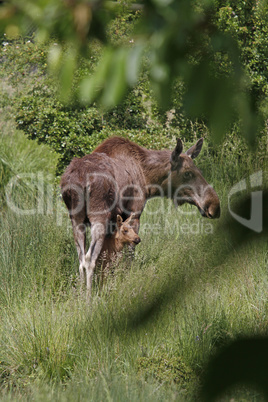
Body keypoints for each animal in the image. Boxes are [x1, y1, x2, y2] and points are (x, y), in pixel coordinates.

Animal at [60, 137, 220, 296]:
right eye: (187, 173)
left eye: (199, 170)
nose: (214, 205)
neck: (148, 180)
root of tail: (77, 181)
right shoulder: (134, 214)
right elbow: (129, 254)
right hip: (99, 217)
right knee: (89, 259)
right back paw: (89, 297)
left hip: (76, 220)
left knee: (81, 260)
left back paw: (80, 294)